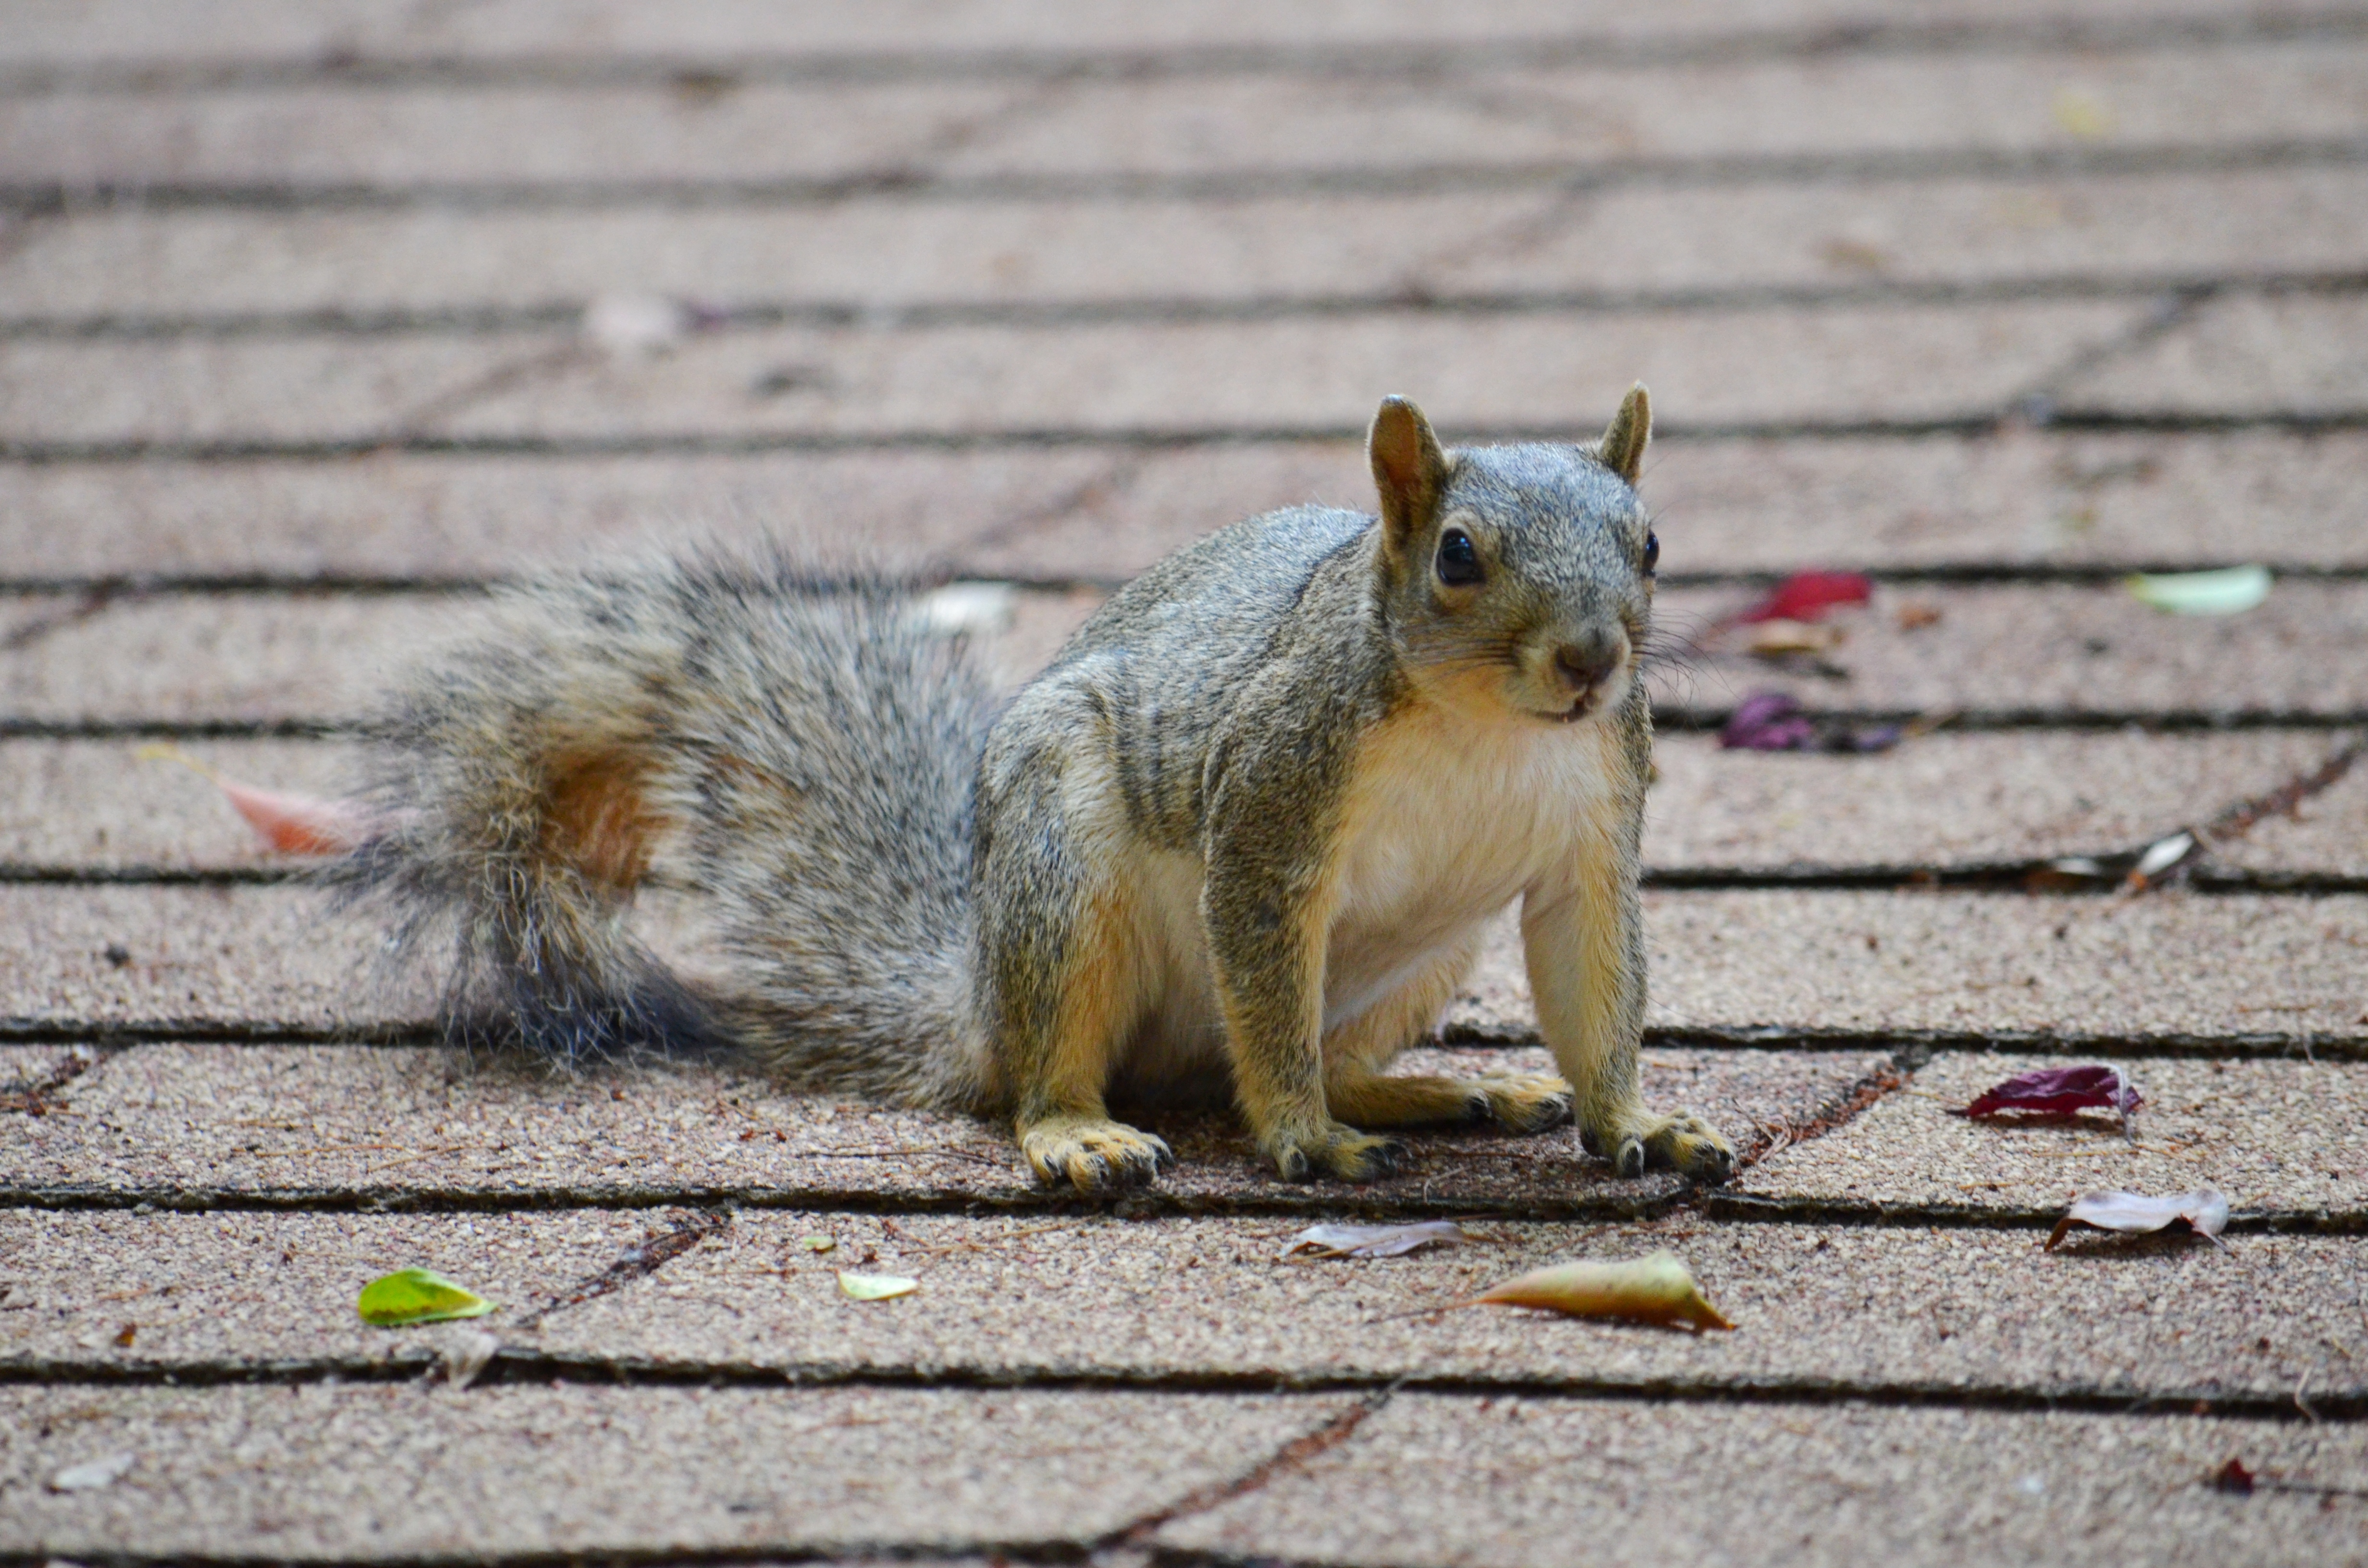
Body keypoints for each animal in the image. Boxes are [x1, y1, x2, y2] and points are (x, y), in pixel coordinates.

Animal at [342, 388, 1735, 1193]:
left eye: (1653, 543)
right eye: (1456, 556)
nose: (1593, 659)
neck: (1489, 728)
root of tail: (975, 1006)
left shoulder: (1593, 834)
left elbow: (1597, 984)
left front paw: (1639, 1121)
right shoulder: (1274, 805)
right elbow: (1266, 990)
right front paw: (1300, 1136)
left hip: (1427, 954)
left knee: (1312, 1051)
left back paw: (1441, 1088)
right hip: (1063, 874)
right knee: (1073, 1066)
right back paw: (1084, 1132)